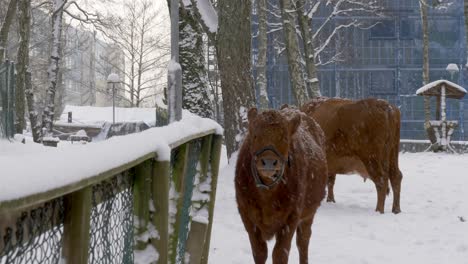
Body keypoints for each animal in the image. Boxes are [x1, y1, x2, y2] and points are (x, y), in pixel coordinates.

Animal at [236, 108, 328, 264]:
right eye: (255, 135)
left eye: (284, 137)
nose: (268, 162)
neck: (267, 191)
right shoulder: (247, 216)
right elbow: (259, 252)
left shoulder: (291, 217)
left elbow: (280, 254)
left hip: (309, 214)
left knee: (303, 241)